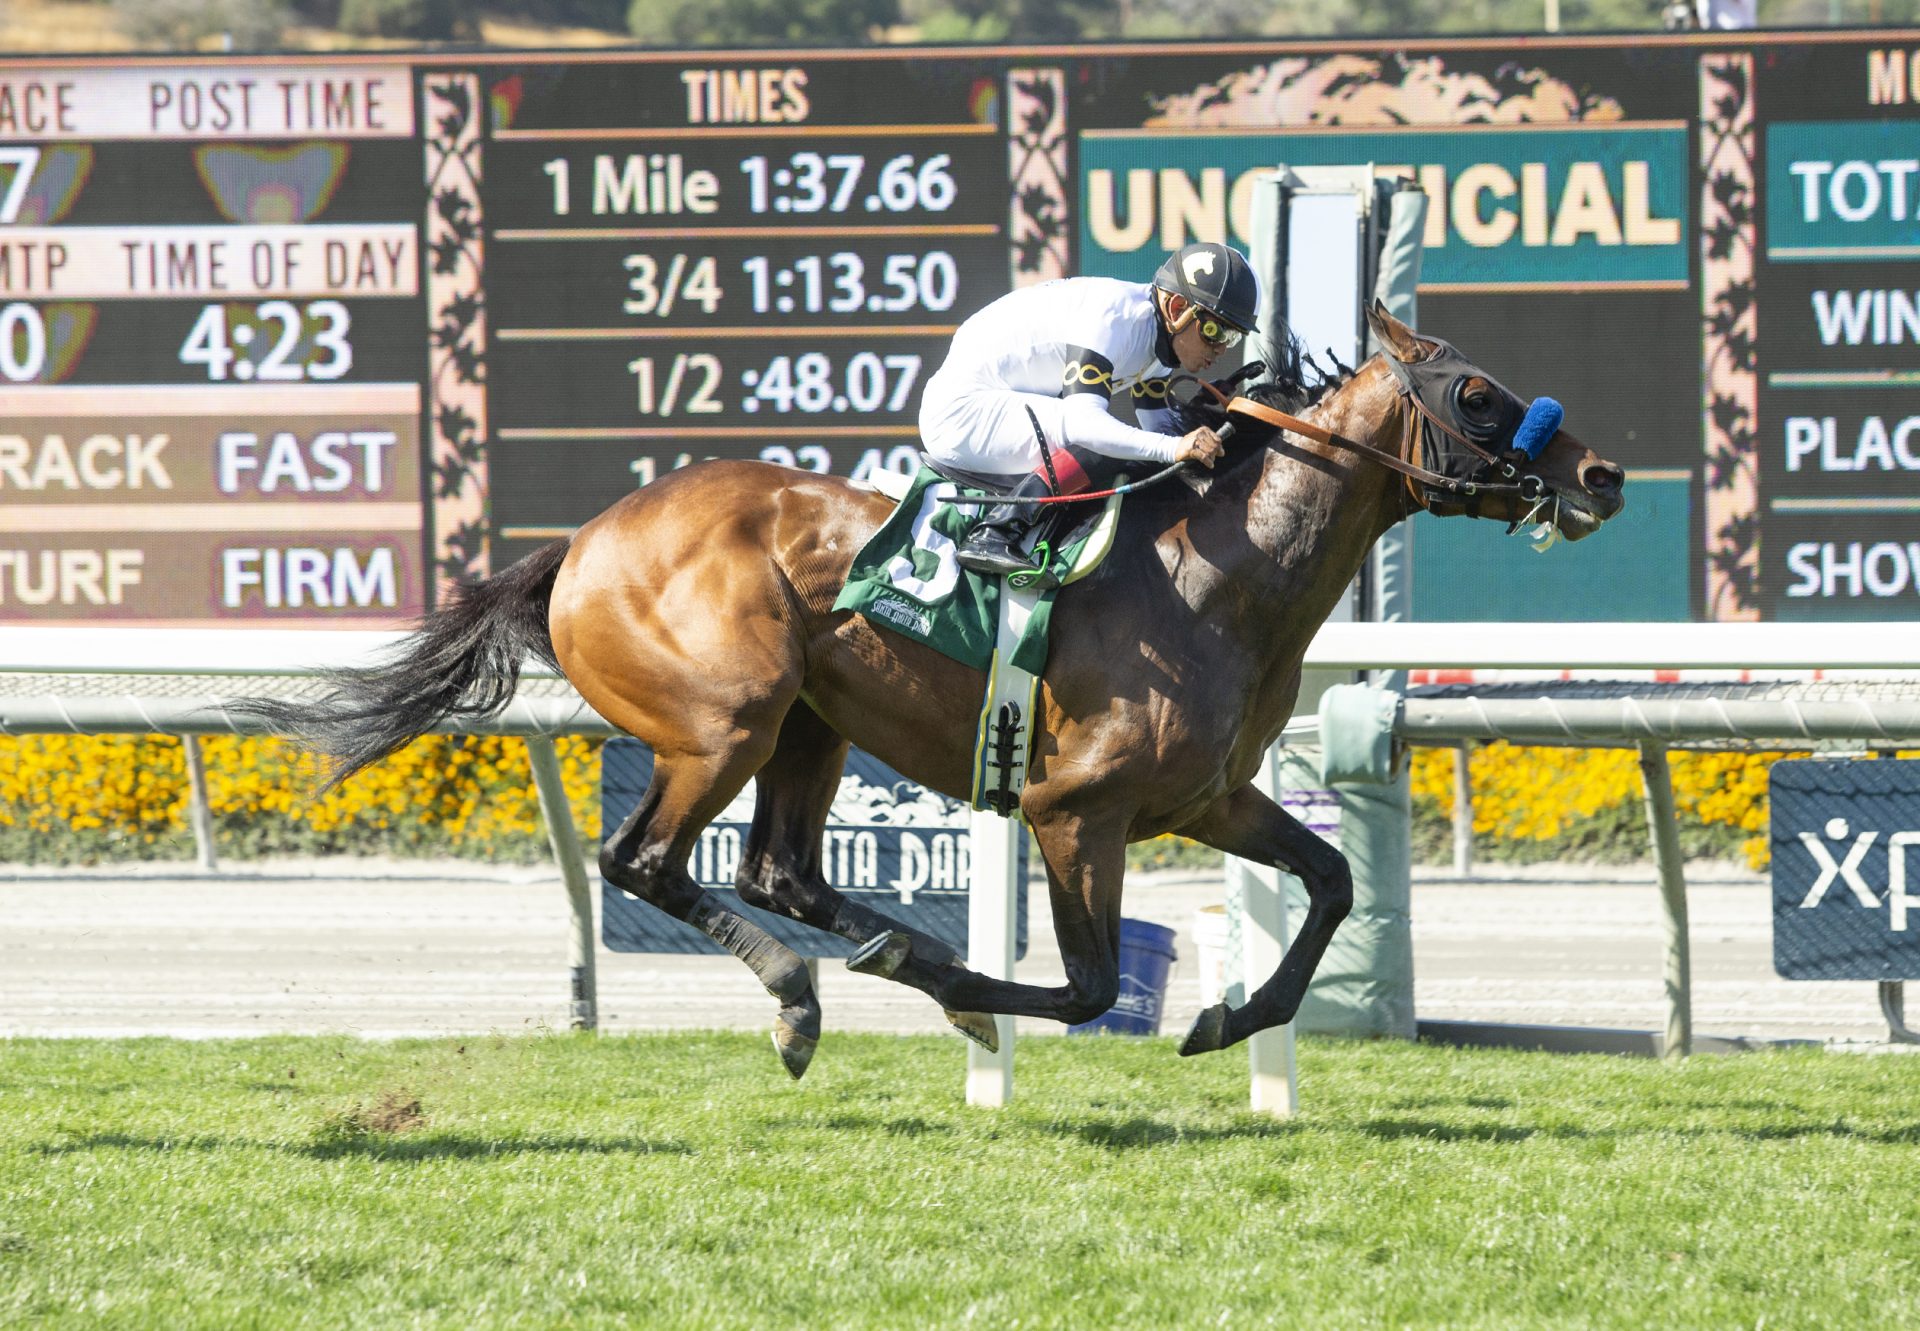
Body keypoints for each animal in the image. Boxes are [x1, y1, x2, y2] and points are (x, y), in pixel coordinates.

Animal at [255, 305, 1620, 1075]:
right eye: (1477, 393)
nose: (1601, 471)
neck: (1217, 574)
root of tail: (582, 543)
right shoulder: (1077, 810)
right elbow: (1083, 984)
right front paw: (978, 1001)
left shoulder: (1204, 800)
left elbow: (1330, 879)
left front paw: (1228, 1021)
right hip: (728, 718)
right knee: (646, 860)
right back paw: (805, 995)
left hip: (811, 719)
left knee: (778, 870)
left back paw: (874, 948)